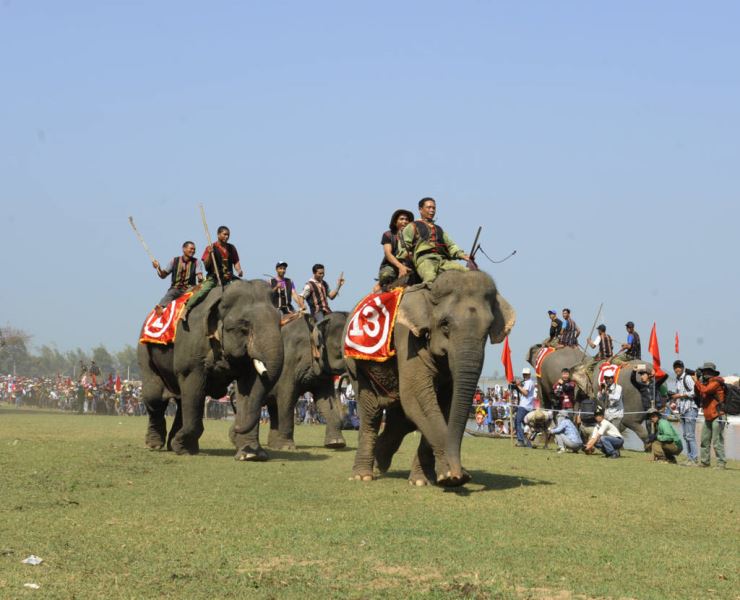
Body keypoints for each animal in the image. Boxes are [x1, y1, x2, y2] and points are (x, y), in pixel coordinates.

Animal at [137, 280, 282, 460]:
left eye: (280, 323)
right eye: (244, 327)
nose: (235, 427)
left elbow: (250, 387)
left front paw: (251, 455)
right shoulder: (191, 343)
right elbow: (193, 385)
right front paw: (183, 449)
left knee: (180, 399)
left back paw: (174, 443)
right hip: (144, 351)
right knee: (155, 397)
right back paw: (155, 445)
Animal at [264, 312, 350, 448]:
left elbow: (325, 400)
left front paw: (336, 443)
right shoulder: (288, 364)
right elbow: (286, 398)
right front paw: (286, 447)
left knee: (272, 407)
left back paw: (272, 445)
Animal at [346, 272, 516, 488]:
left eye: (488, 328)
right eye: (445, 324)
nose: (461, 473)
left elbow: (443, 405)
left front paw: (427, 480)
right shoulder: (406, 337)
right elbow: (418, 397)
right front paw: (450, 476)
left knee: (401, 418)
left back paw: (380, 460)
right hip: (355, 365)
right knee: (372, 411)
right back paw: (363, 475)